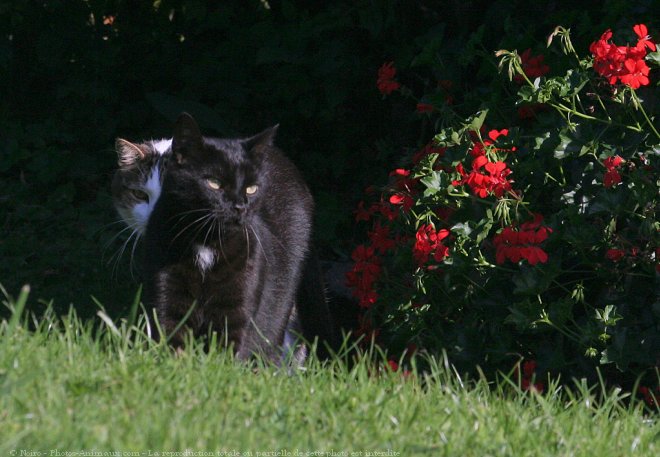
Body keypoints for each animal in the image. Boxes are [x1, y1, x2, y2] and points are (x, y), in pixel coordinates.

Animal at [132, 113, 338, 360]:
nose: (240, 206)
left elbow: (231, 344)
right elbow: (170, 335)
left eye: (251, 188)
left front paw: (221, 366)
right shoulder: (166, 288)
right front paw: (173, 363)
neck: (207, 243)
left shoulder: (240, 299)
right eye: (214, 183)